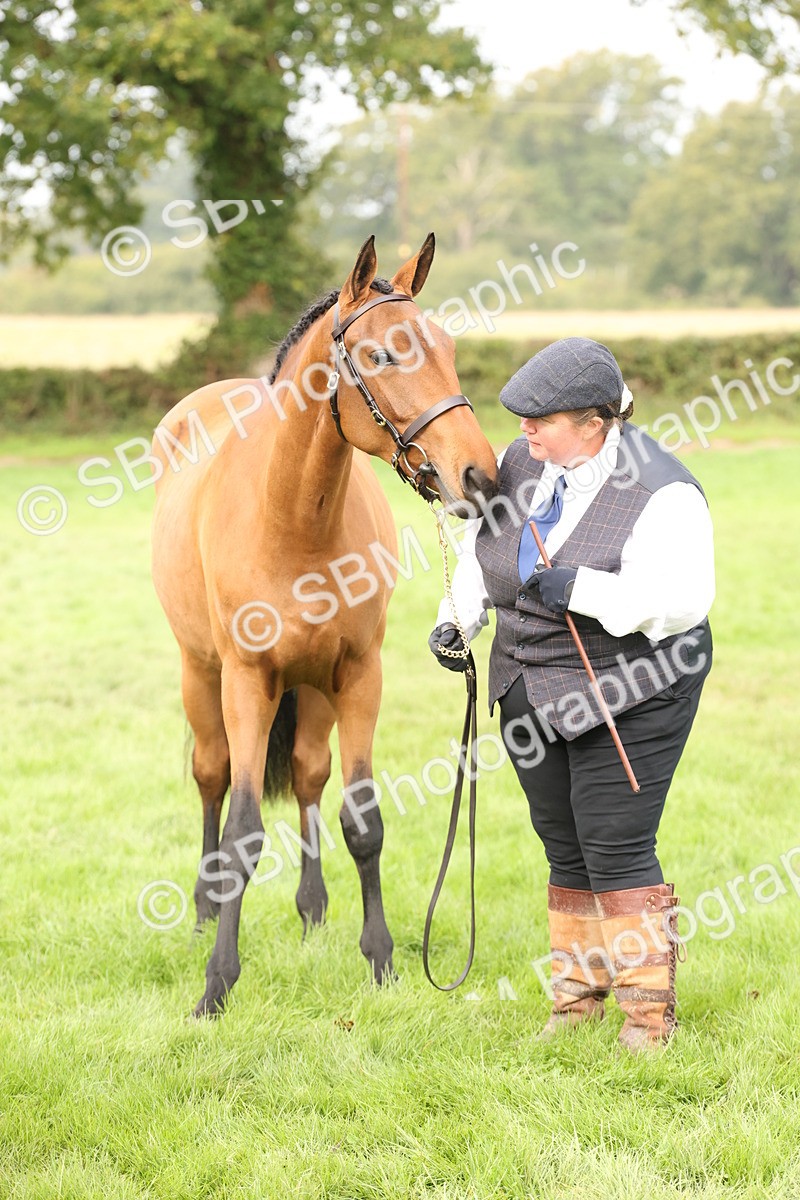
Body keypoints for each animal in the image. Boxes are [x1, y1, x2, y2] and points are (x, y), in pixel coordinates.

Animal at [150, 234, 499, 1016]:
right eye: (381, 355)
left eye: (446, 347)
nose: (480, 477)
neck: (293, 521)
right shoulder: (247, 682)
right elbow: (243, 832)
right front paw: (216, 986)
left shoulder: (358, 675)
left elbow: (362, 821)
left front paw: (383, 961)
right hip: (199, 675)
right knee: (211, 778)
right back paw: (204, 910)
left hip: (310, 689)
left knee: (311, 776)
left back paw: (312, 910)